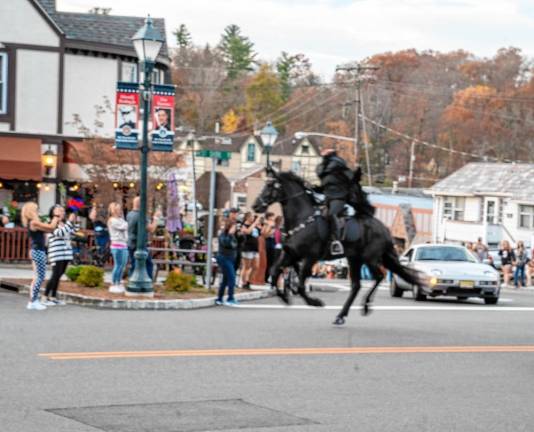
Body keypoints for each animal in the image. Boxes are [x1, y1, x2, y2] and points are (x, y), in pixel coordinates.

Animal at [253, 167, 426, 326]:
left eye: (271, 185)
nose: (256, 206)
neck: (302, 219)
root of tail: (384, 229)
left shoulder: (310, 257)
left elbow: (301, 284)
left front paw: (315, 302)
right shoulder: (290, 253)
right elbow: (274, 272)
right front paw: (285, 297)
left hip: (370, 258)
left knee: (378, 277)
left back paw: (365, 306)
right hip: (354, 259)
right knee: (356, 286)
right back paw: (341, 315)